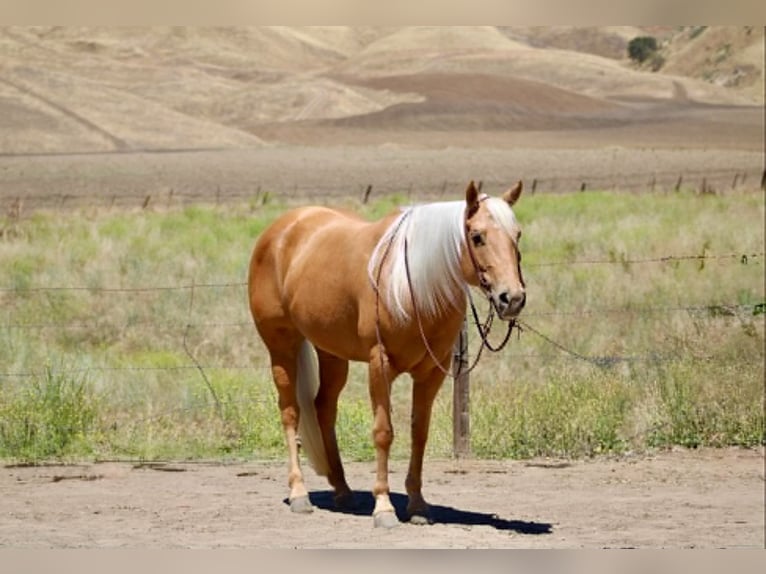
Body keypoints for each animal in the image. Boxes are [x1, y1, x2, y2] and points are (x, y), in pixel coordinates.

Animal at [247, 180, 525, 528]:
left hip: (332, 354)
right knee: (290, 411)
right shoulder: (379, 365)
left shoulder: (432, 371)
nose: (512, 298)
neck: (412, 284)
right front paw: (383, 508)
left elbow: (419, 433)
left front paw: (418, 505)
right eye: (477, 236)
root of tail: (281, 229)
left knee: (324, 408)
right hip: (281, 346)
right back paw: (299, 494)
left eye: (517, 235)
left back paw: (342, 490)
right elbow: (383, 433)